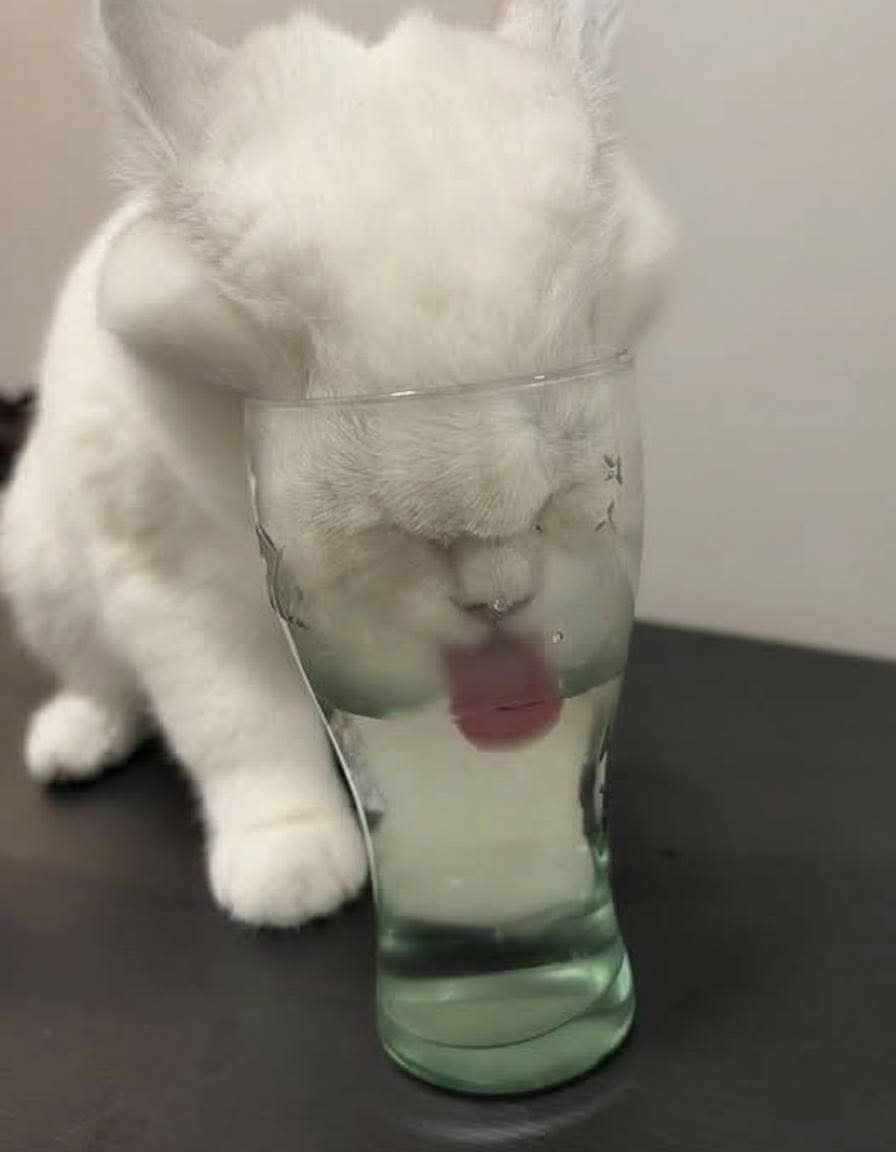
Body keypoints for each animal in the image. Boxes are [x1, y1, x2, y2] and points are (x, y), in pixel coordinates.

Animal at [0, 0, 674, 927]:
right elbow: (242, 726)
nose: (497, 598)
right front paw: (289, 856)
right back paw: (74, 739)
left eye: (566, 501)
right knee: (103, 681)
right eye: (382, 537)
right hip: (43, 570)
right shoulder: (173, 584)